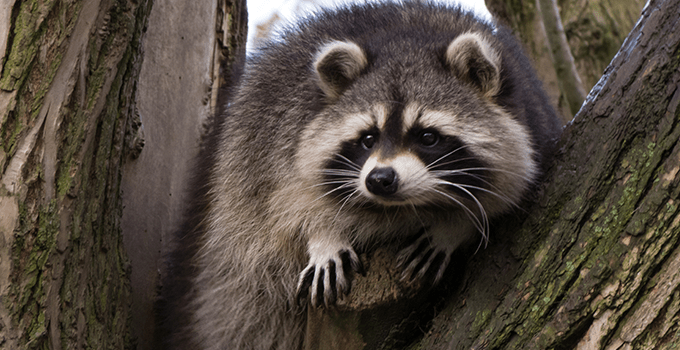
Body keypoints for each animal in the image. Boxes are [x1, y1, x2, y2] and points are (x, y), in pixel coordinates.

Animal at [157, 1, 560, 348]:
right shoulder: (277, 135)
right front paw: (321, 233)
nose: (380, 180)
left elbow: (508, 193)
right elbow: (283, 200)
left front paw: (453, 227)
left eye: (428, 137)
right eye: (368, 138)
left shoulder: (533, 120)